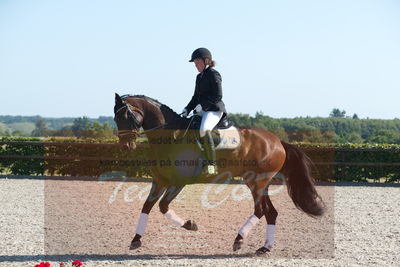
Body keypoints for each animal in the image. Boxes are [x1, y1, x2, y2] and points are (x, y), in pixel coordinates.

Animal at [113, 94, 324, 255]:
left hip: (257, 181)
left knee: (261, 210)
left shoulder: (178, 182)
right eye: (115, 119)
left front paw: (190, 225)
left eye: (126, 116)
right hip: (257, 182)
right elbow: (147, 206)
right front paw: (136, 239)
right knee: (270, 212)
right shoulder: (159, 181)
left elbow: (163, 206)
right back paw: (265, 248)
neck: (169, 138)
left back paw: (239, 240)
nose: (125, 147)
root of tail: (278, 141)